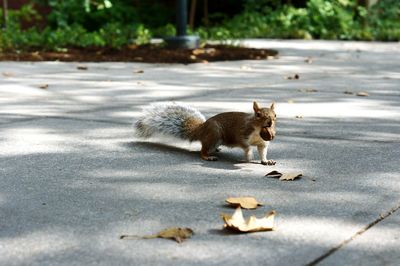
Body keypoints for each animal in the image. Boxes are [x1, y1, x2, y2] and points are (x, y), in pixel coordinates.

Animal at [136, 101, 276, 165]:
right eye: (258, 115)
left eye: (275, 115)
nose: (270, 122)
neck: (258, 131)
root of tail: (201, 129)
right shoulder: (241, 134)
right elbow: (246, 147)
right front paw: (249, 156)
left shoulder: (263, 143)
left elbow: (262, 152)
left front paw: (266, 161)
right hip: (214, 134)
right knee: (202, 150)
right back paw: (208, 156)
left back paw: (215, 150)